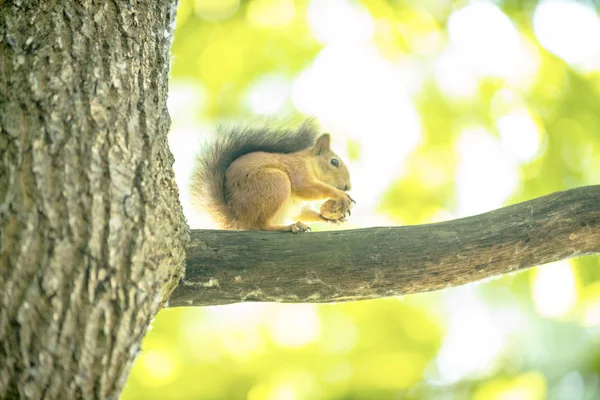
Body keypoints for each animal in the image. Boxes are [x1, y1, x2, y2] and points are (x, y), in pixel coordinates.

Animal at [190, 119, 354, 231]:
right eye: (334, 162)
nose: (348, 186)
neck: (309, 163)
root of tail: (238, 219)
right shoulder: (298, 170)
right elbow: (306, 187)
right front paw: (339, 194)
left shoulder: (300, 208)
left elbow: (303, 213)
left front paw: (332, 218)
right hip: (276, 182)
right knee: (262, 225)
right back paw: (287, 227)